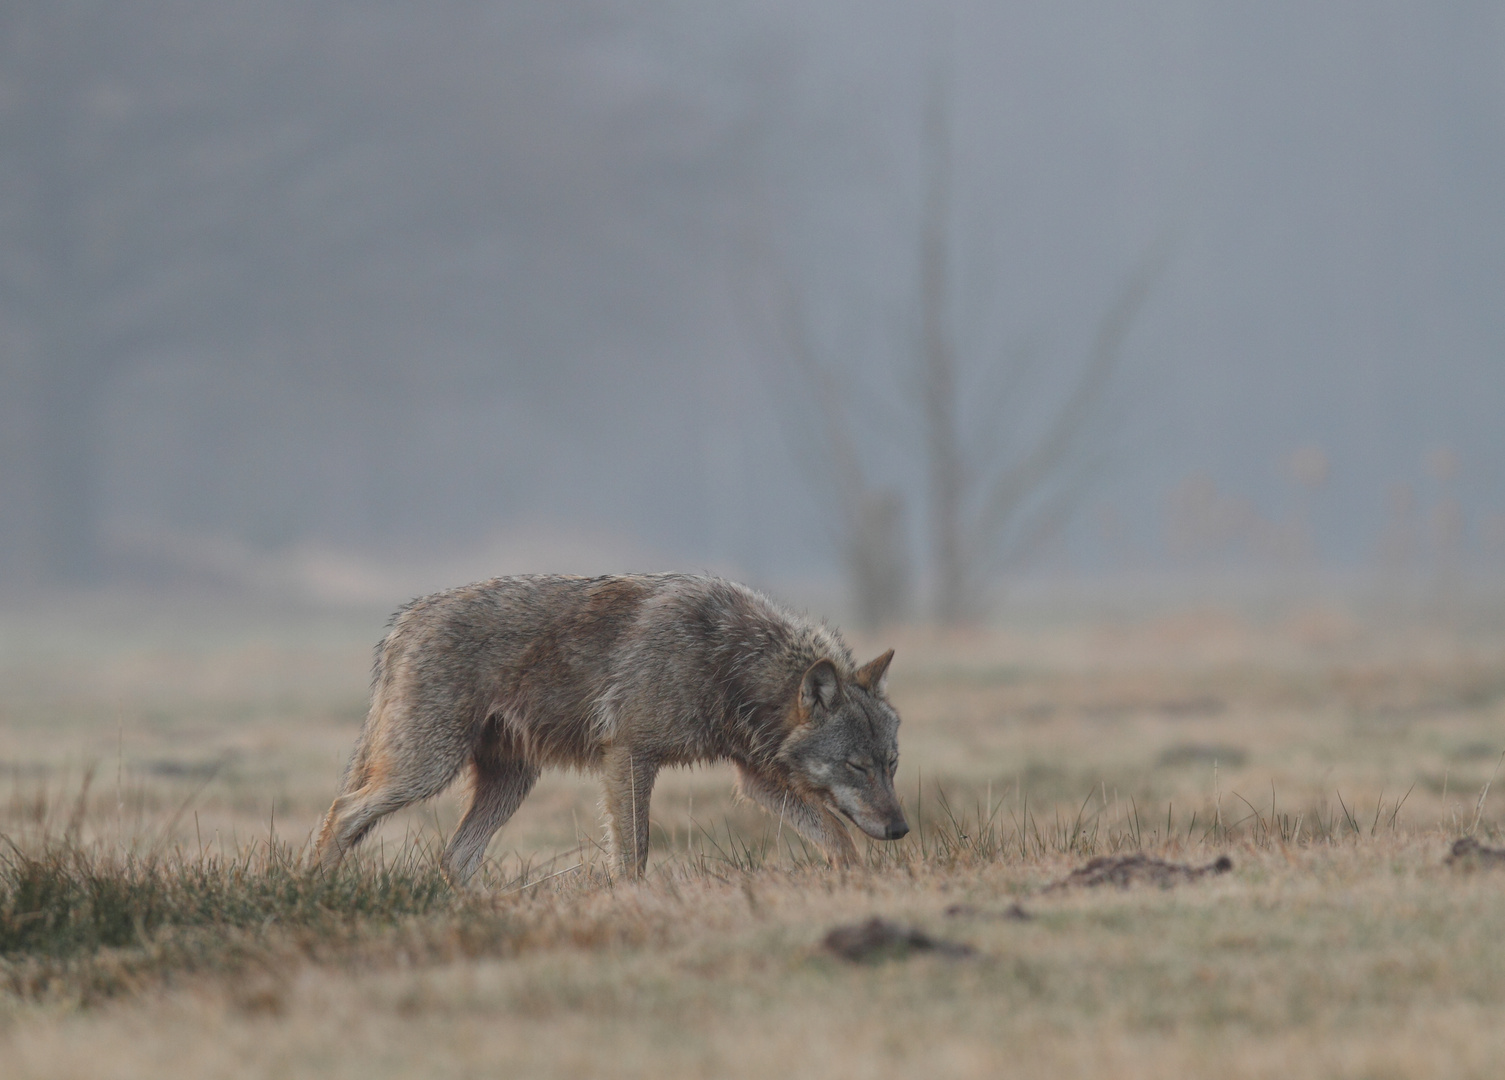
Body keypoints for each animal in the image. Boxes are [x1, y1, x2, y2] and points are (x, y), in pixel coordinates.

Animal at [313, 571, 909, 884]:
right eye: (856, 766)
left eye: (891, 765)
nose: (901, 829)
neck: (729, 662)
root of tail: (404, 620)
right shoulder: (628, 754)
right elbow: (633, 852)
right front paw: (631, 901)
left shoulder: (757, 779)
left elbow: (835, 835)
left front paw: (857, 885)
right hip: (427, 770)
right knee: (341, 812)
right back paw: (317, 886)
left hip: (510, 783)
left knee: (455, 855)